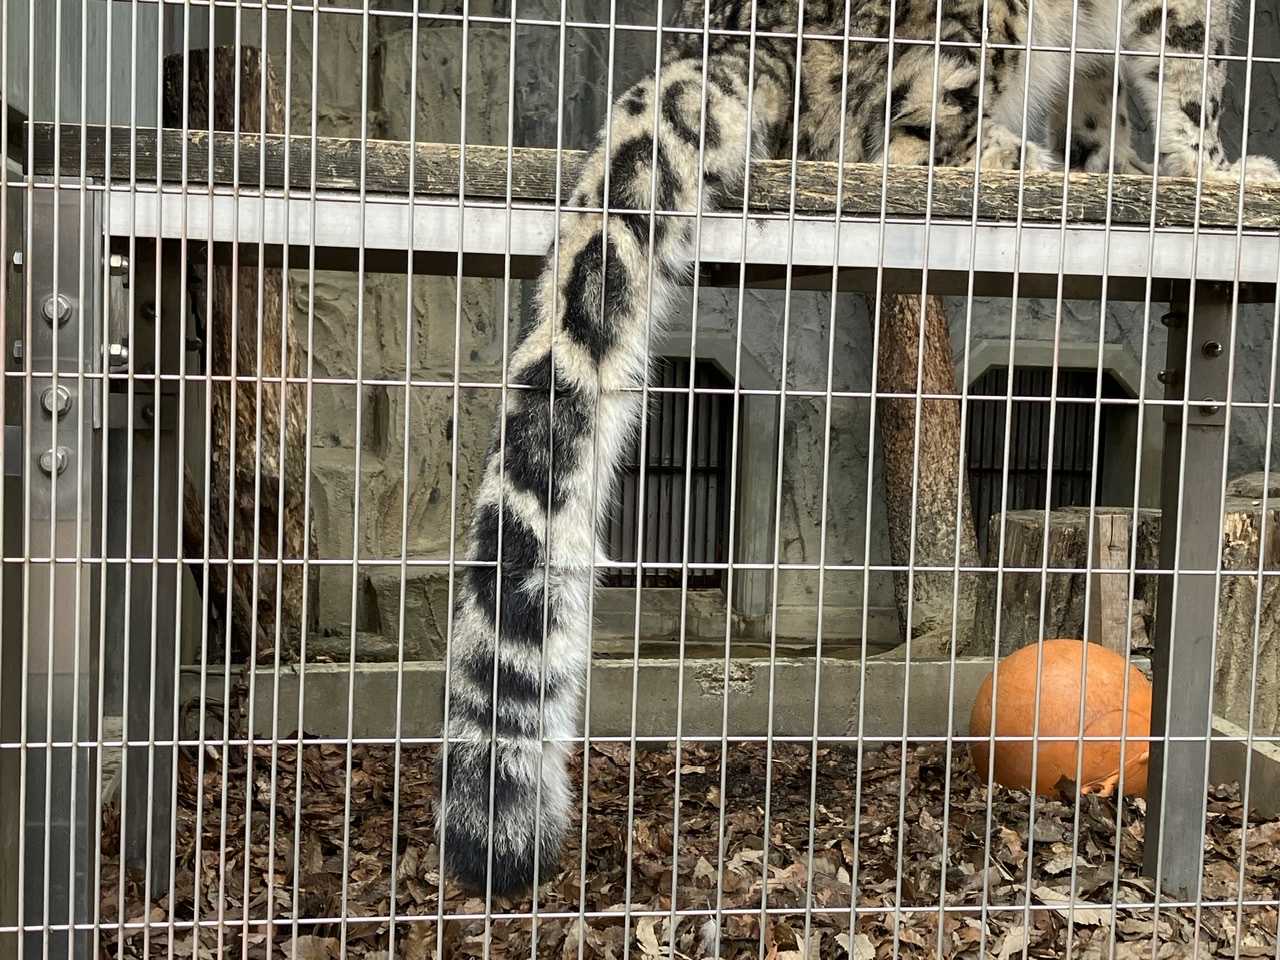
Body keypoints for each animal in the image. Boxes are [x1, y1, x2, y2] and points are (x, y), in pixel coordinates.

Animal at [435, 0, 1280, 897]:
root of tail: (729, 33)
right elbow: (1192, 91)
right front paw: (1223, 174)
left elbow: (1107, 107)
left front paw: (1121, 170)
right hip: (964, 41)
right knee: (898, 142)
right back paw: (1015, 158)